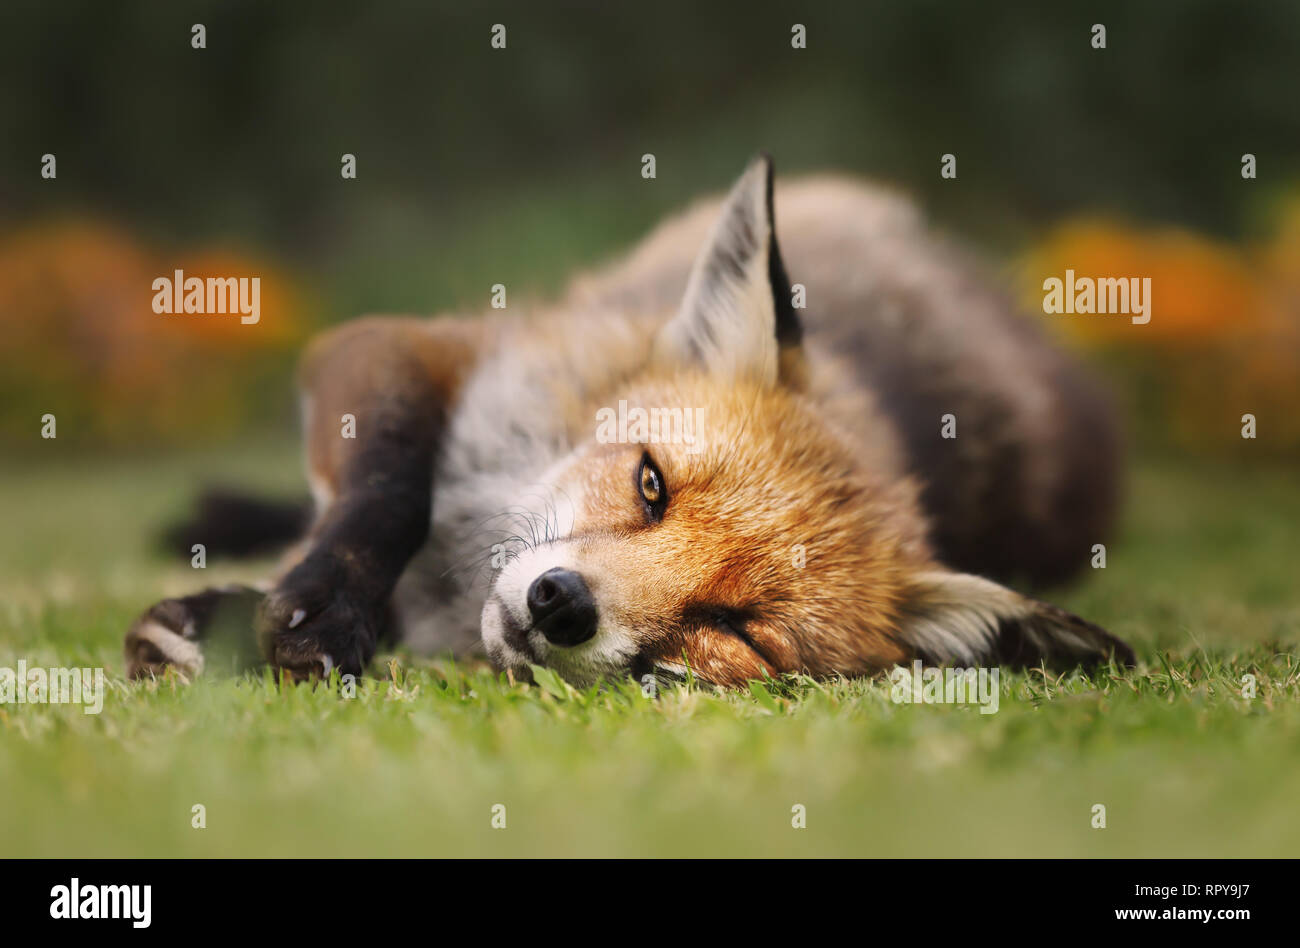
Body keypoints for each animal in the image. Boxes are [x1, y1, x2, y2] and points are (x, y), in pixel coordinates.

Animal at [126, 155, 1133, 686]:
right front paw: (317, 606)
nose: (562, 605)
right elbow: (390, 488)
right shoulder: (398, 346)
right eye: (652, 482)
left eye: (734, 627)